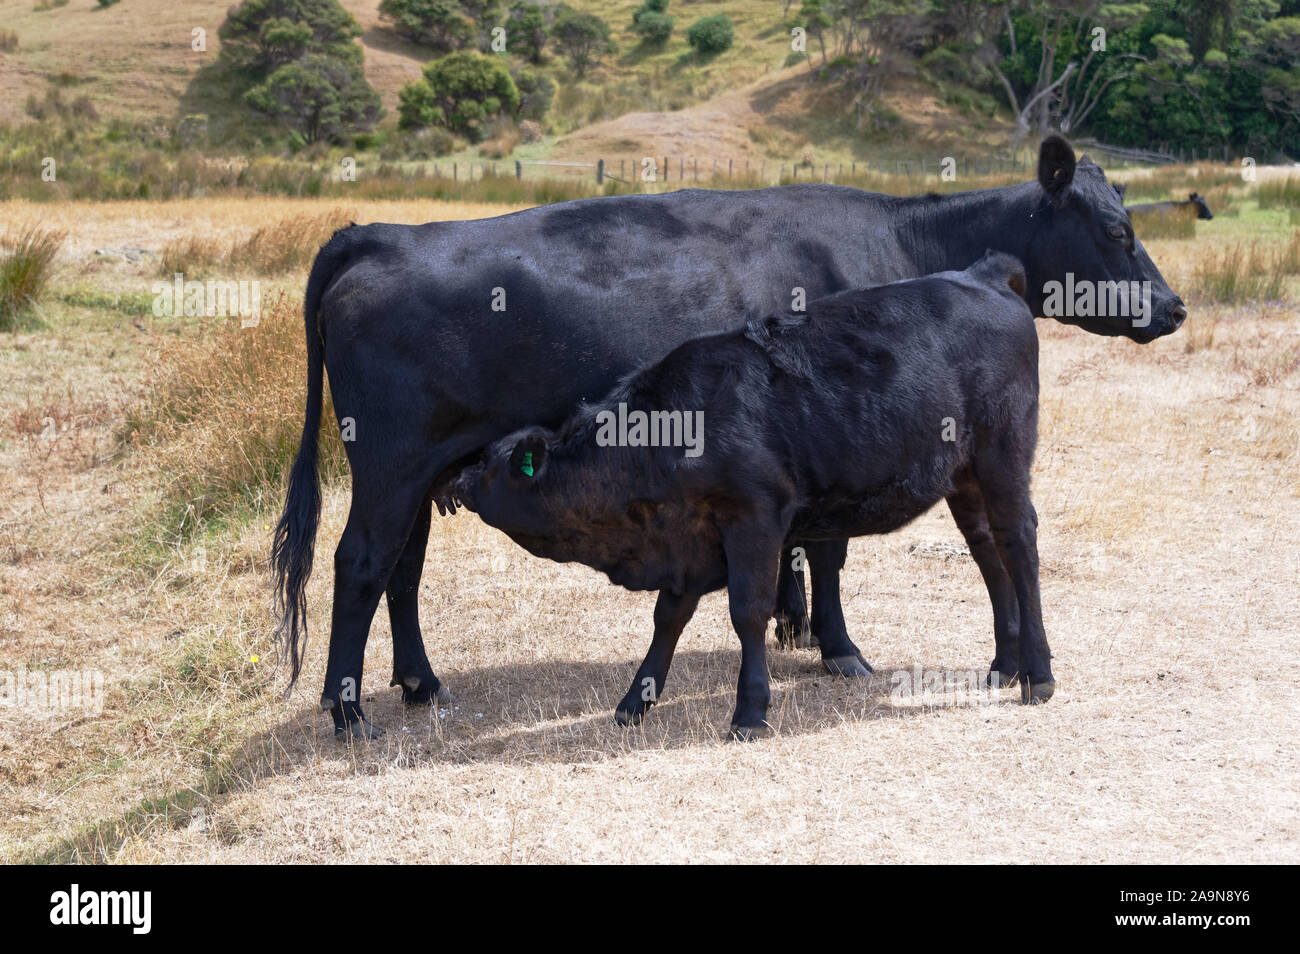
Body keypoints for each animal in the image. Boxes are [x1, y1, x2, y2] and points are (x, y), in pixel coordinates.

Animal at [452, 248, 1050, 738]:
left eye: (489, 465)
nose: (454, 482)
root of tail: (981, 275)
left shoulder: (754, 516)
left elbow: (749, 611)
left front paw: (749, 711)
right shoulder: (688, 539)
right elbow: (668, 616)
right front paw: (633, 702)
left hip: (1004, 454)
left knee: (1019, 547)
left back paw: (1038, 674)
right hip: (964, 478)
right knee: (988, 555)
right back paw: (1004, 665)